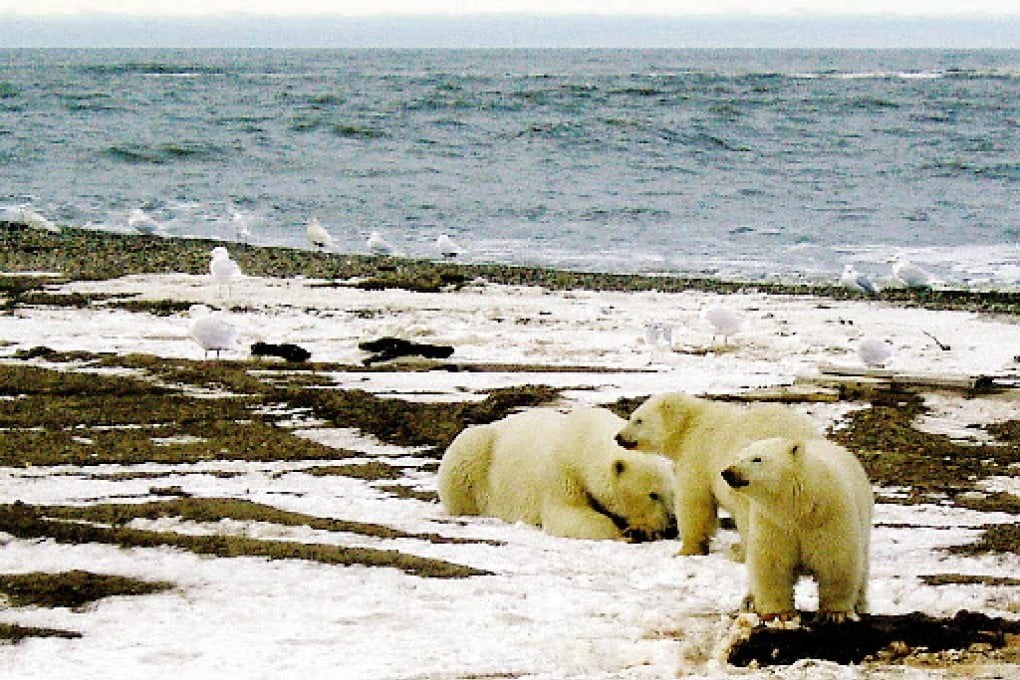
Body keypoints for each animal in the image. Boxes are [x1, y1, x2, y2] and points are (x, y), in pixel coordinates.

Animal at [438, 407, 677, 542]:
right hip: (476, 453)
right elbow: (568, 514)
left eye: (673, 494)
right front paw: (627, 533)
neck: (583, 439)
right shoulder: (561, 471)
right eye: (652, 494)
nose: (671, 525)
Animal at [614, 392, 819, 556]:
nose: (618, 437)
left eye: (638, 420)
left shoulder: (698, 454)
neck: (690, 423)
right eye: (632, 417)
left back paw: (740, 552)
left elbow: (695, 501)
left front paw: (686, 550)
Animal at [721, 437, 873, 623]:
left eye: (757, 459)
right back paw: (749, 601)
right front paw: (779, 614)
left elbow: (836, 560)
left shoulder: (830, 515)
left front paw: (835, 613)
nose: (728, 472)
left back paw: (860, 604)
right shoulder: (773, 523)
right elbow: (772, 562)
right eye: (738, 457)